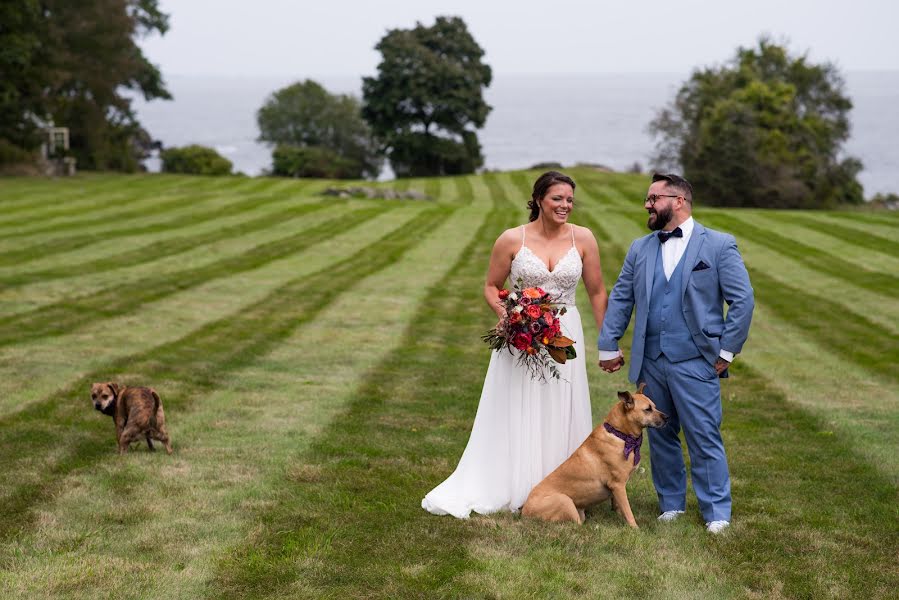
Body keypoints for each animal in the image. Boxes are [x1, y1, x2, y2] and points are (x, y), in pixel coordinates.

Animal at [524, 386, 664, 528]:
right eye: (648, 409)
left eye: (654, 406)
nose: (667, 417)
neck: (619, 434)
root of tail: (525, 511)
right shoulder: (618, 485)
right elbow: (628, 510)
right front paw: (635, 528)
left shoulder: (617, 490)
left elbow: (620, 507)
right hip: (565, 501)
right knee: (576, 524)